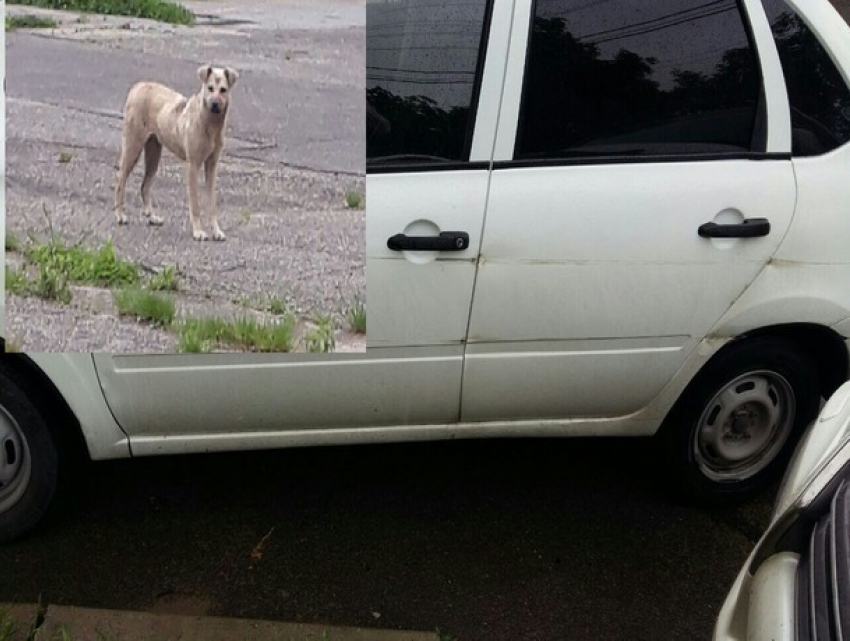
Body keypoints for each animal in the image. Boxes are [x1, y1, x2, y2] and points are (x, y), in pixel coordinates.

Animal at [112, 65, 238, 240]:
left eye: (223, 90)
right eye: (210, 88)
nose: (214, 104)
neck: (209, 123)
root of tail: (138, 86)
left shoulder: (212, 166)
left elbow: (212, 203)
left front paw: (216, 231)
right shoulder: (193, 166)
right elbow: (195, 203)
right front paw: (198, 231)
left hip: (154, 153)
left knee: (145, 185)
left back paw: (152, 217)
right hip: (133, 146)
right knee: (120, 179)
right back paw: (119, 215)